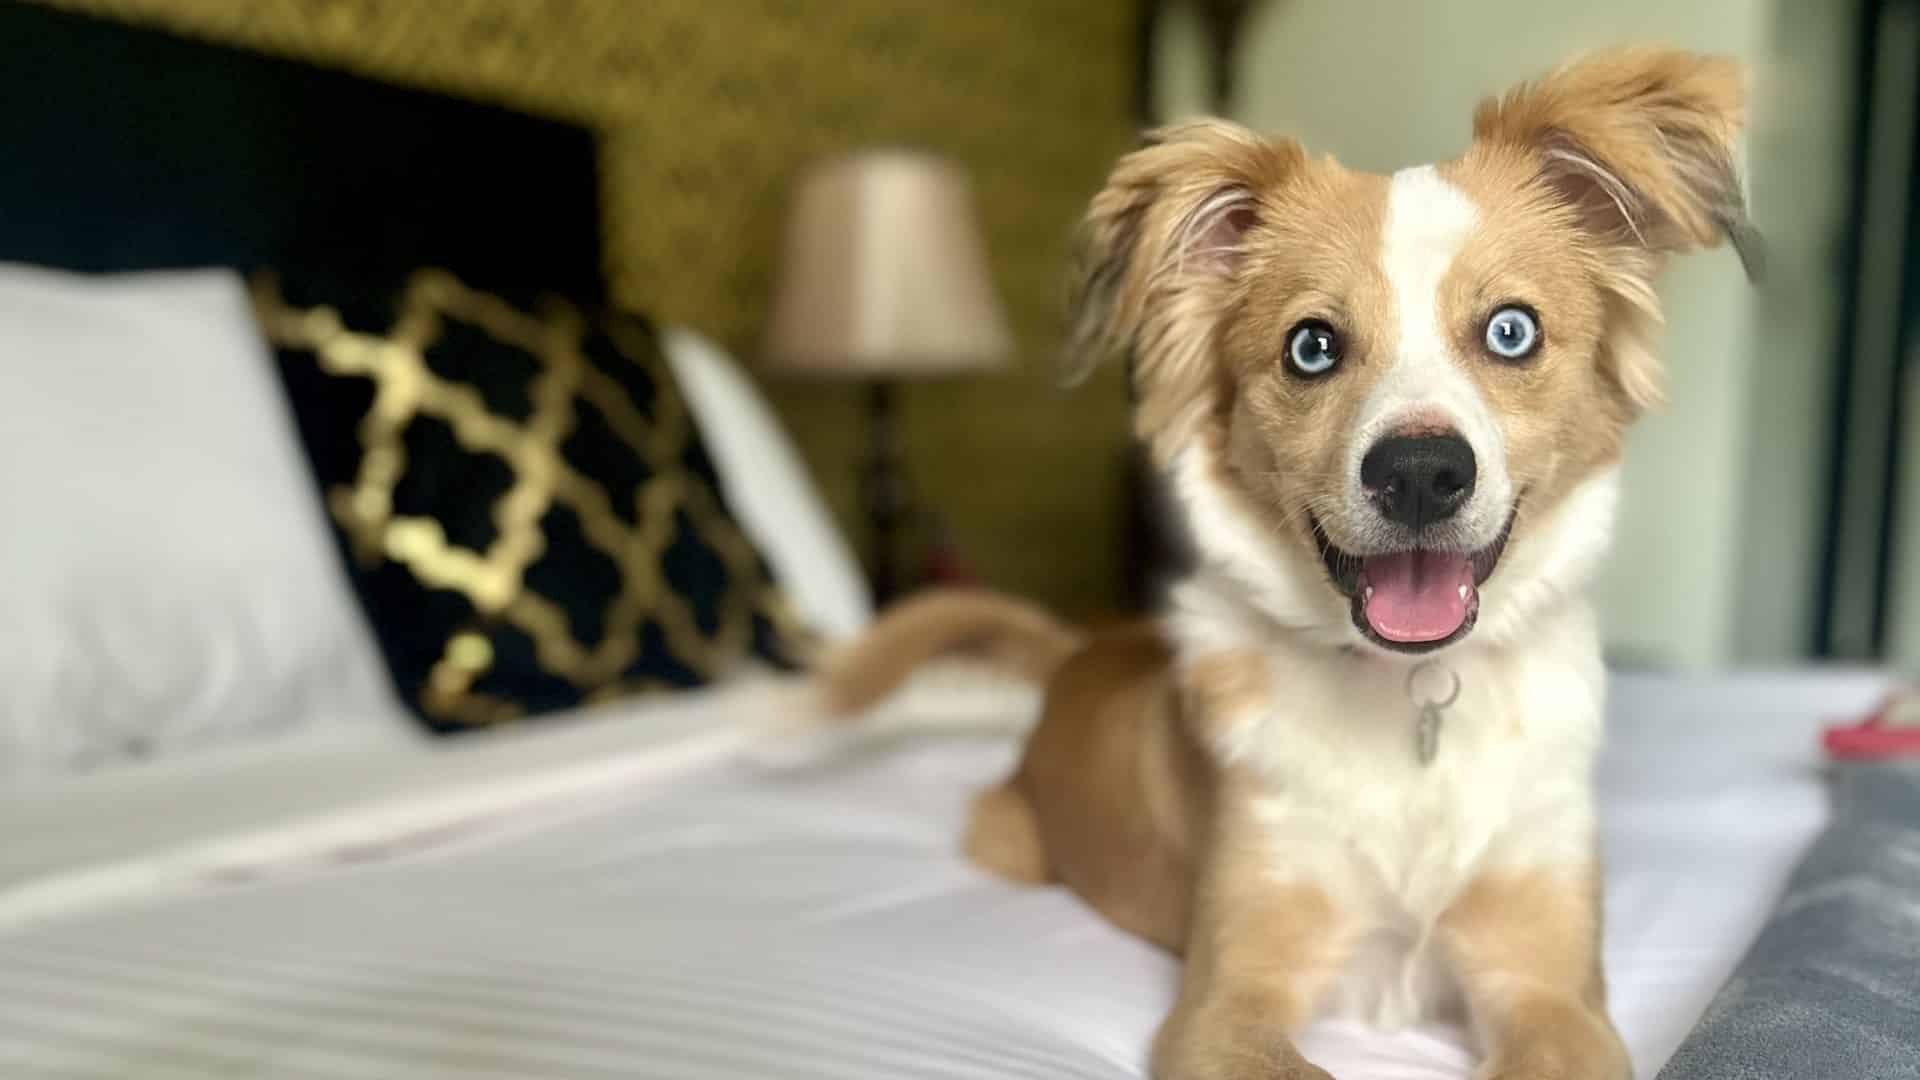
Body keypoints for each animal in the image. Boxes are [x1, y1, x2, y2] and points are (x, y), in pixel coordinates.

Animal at [810, 44, 1758, 1076]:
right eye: (1312, 346)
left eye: (1512, 330)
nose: (1419, 474)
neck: (1408, 699)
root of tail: (1080, 651)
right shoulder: (1228, 994)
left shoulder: (1553, 984)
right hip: (1009, 838)